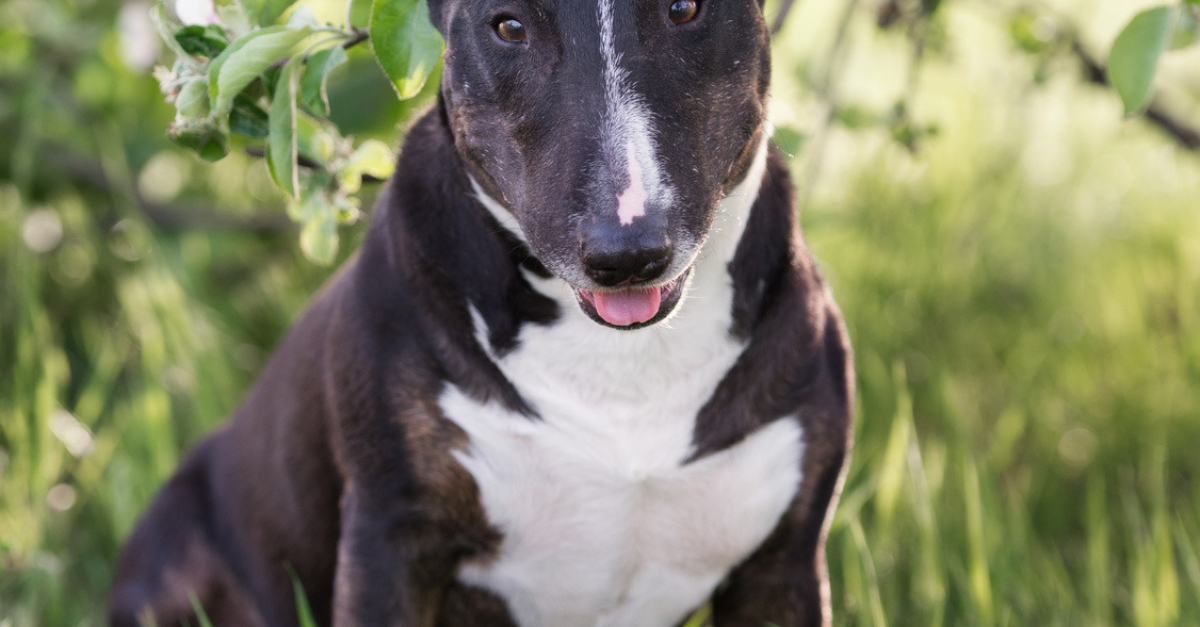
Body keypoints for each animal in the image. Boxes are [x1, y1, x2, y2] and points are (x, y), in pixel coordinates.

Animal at [108, 0, 849, 619]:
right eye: (508, 25)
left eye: (685, 7)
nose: (628, 253)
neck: (622, 365)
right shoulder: (388, 540)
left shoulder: (783, 563)